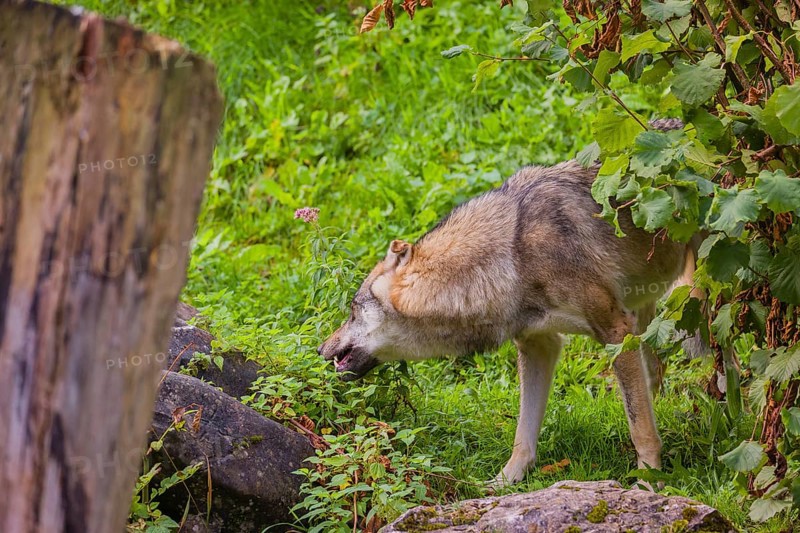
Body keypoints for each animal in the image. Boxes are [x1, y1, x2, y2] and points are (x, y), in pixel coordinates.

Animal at [318, 160, 699, 485]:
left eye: (352, 310)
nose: (320, 349)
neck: (511, 256)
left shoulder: (615, 331)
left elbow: (639, 427)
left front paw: (649, 479)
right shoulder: (539, 344)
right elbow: (523, 433)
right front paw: (505, 482)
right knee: (656, 372)